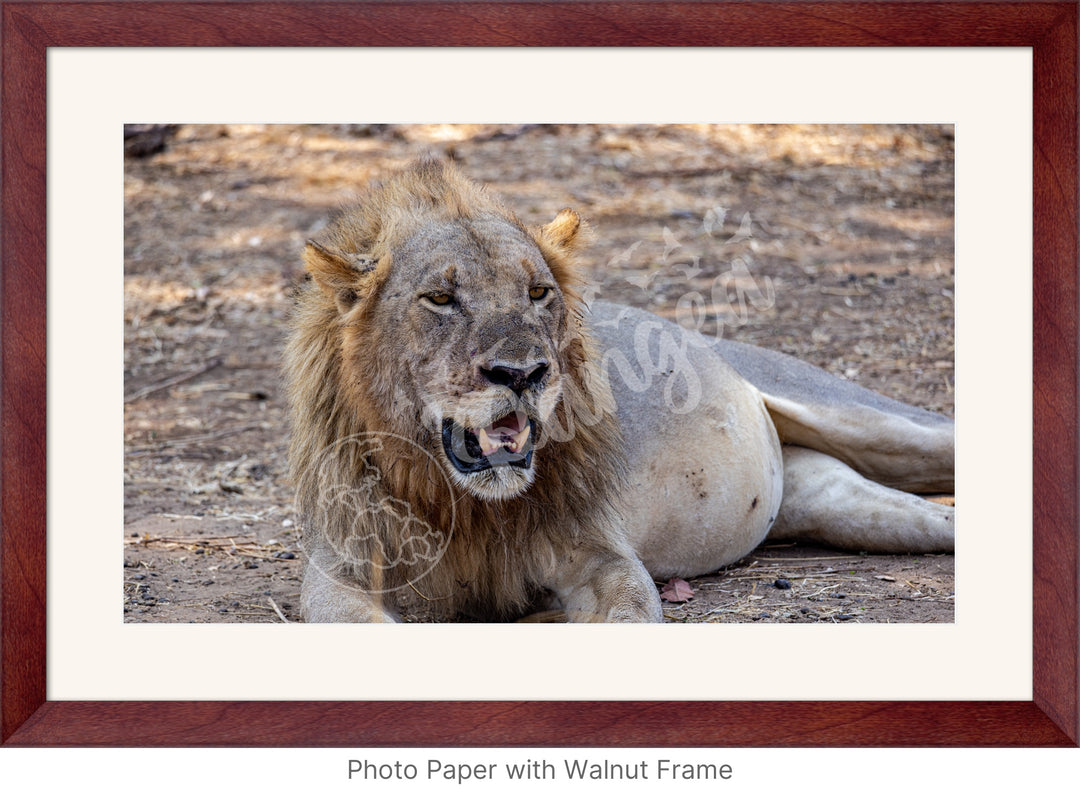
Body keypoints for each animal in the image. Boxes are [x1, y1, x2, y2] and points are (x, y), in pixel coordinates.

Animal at [285, 153, 954, 626]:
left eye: (537, 292)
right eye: (441, 299)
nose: (522, 374)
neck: (465, 504)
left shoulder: (602, 556)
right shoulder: (340, 572)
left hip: (870, 421)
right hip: (842, 505)